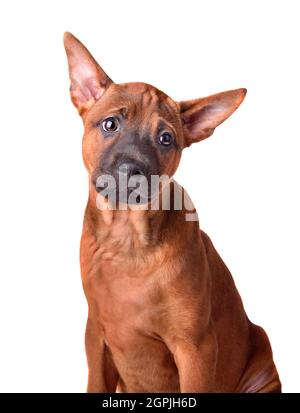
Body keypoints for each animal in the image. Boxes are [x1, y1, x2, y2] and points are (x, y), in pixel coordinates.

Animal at [63, 33, 282, 392]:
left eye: (166, 139)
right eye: (110, 124)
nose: (131, 171)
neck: (126, 239)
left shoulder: (195, 348)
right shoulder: (95, 338)